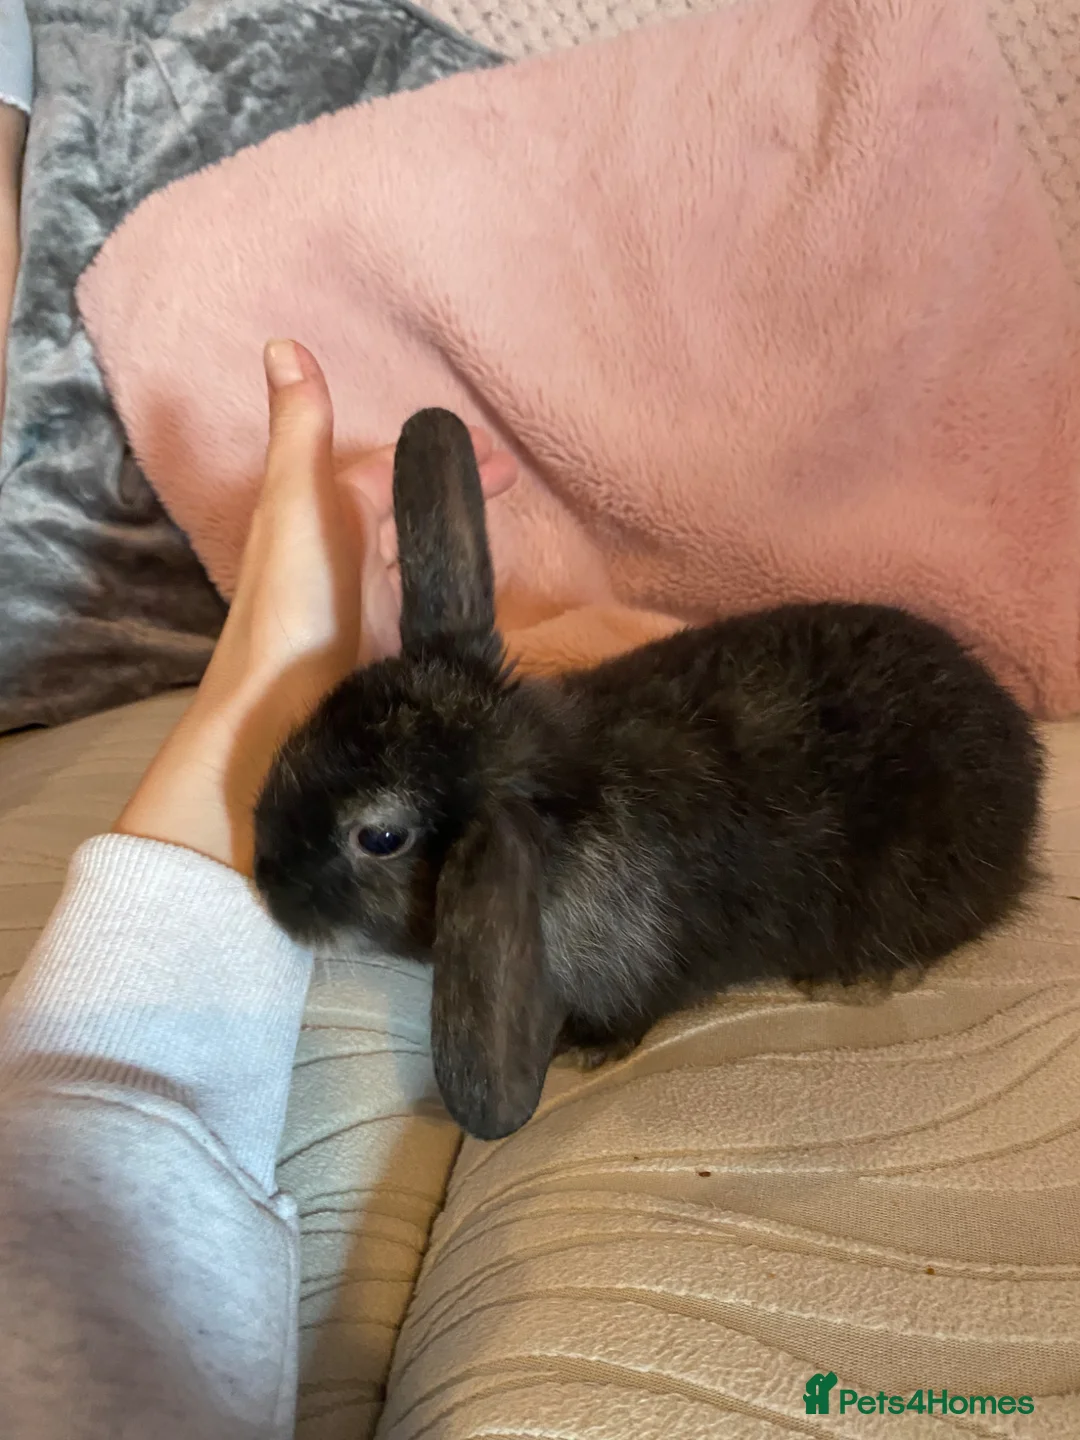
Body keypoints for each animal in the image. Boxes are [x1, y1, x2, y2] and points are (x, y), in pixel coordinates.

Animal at [253, 407, 1045, 1142]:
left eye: (381, 838)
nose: (267, 888)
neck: (554, 798)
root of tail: (1023, 753)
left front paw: (582, 1051)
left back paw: (857, 978)